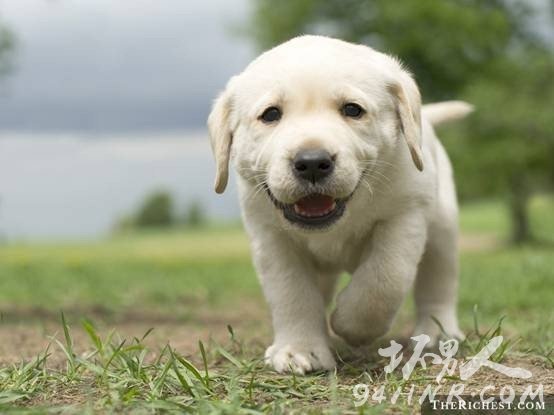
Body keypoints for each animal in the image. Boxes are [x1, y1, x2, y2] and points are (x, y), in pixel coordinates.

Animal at [207, 35, 470, 374]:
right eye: (270, 115)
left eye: (352, 110)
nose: (312, 162)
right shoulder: (270, 236)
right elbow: (291, 292)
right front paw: (299, 349)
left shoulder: (406, 214)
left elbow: (385, 278)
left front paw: (352, 325)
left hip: (442, 227)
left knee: (439, 281)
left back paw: (438, 333)